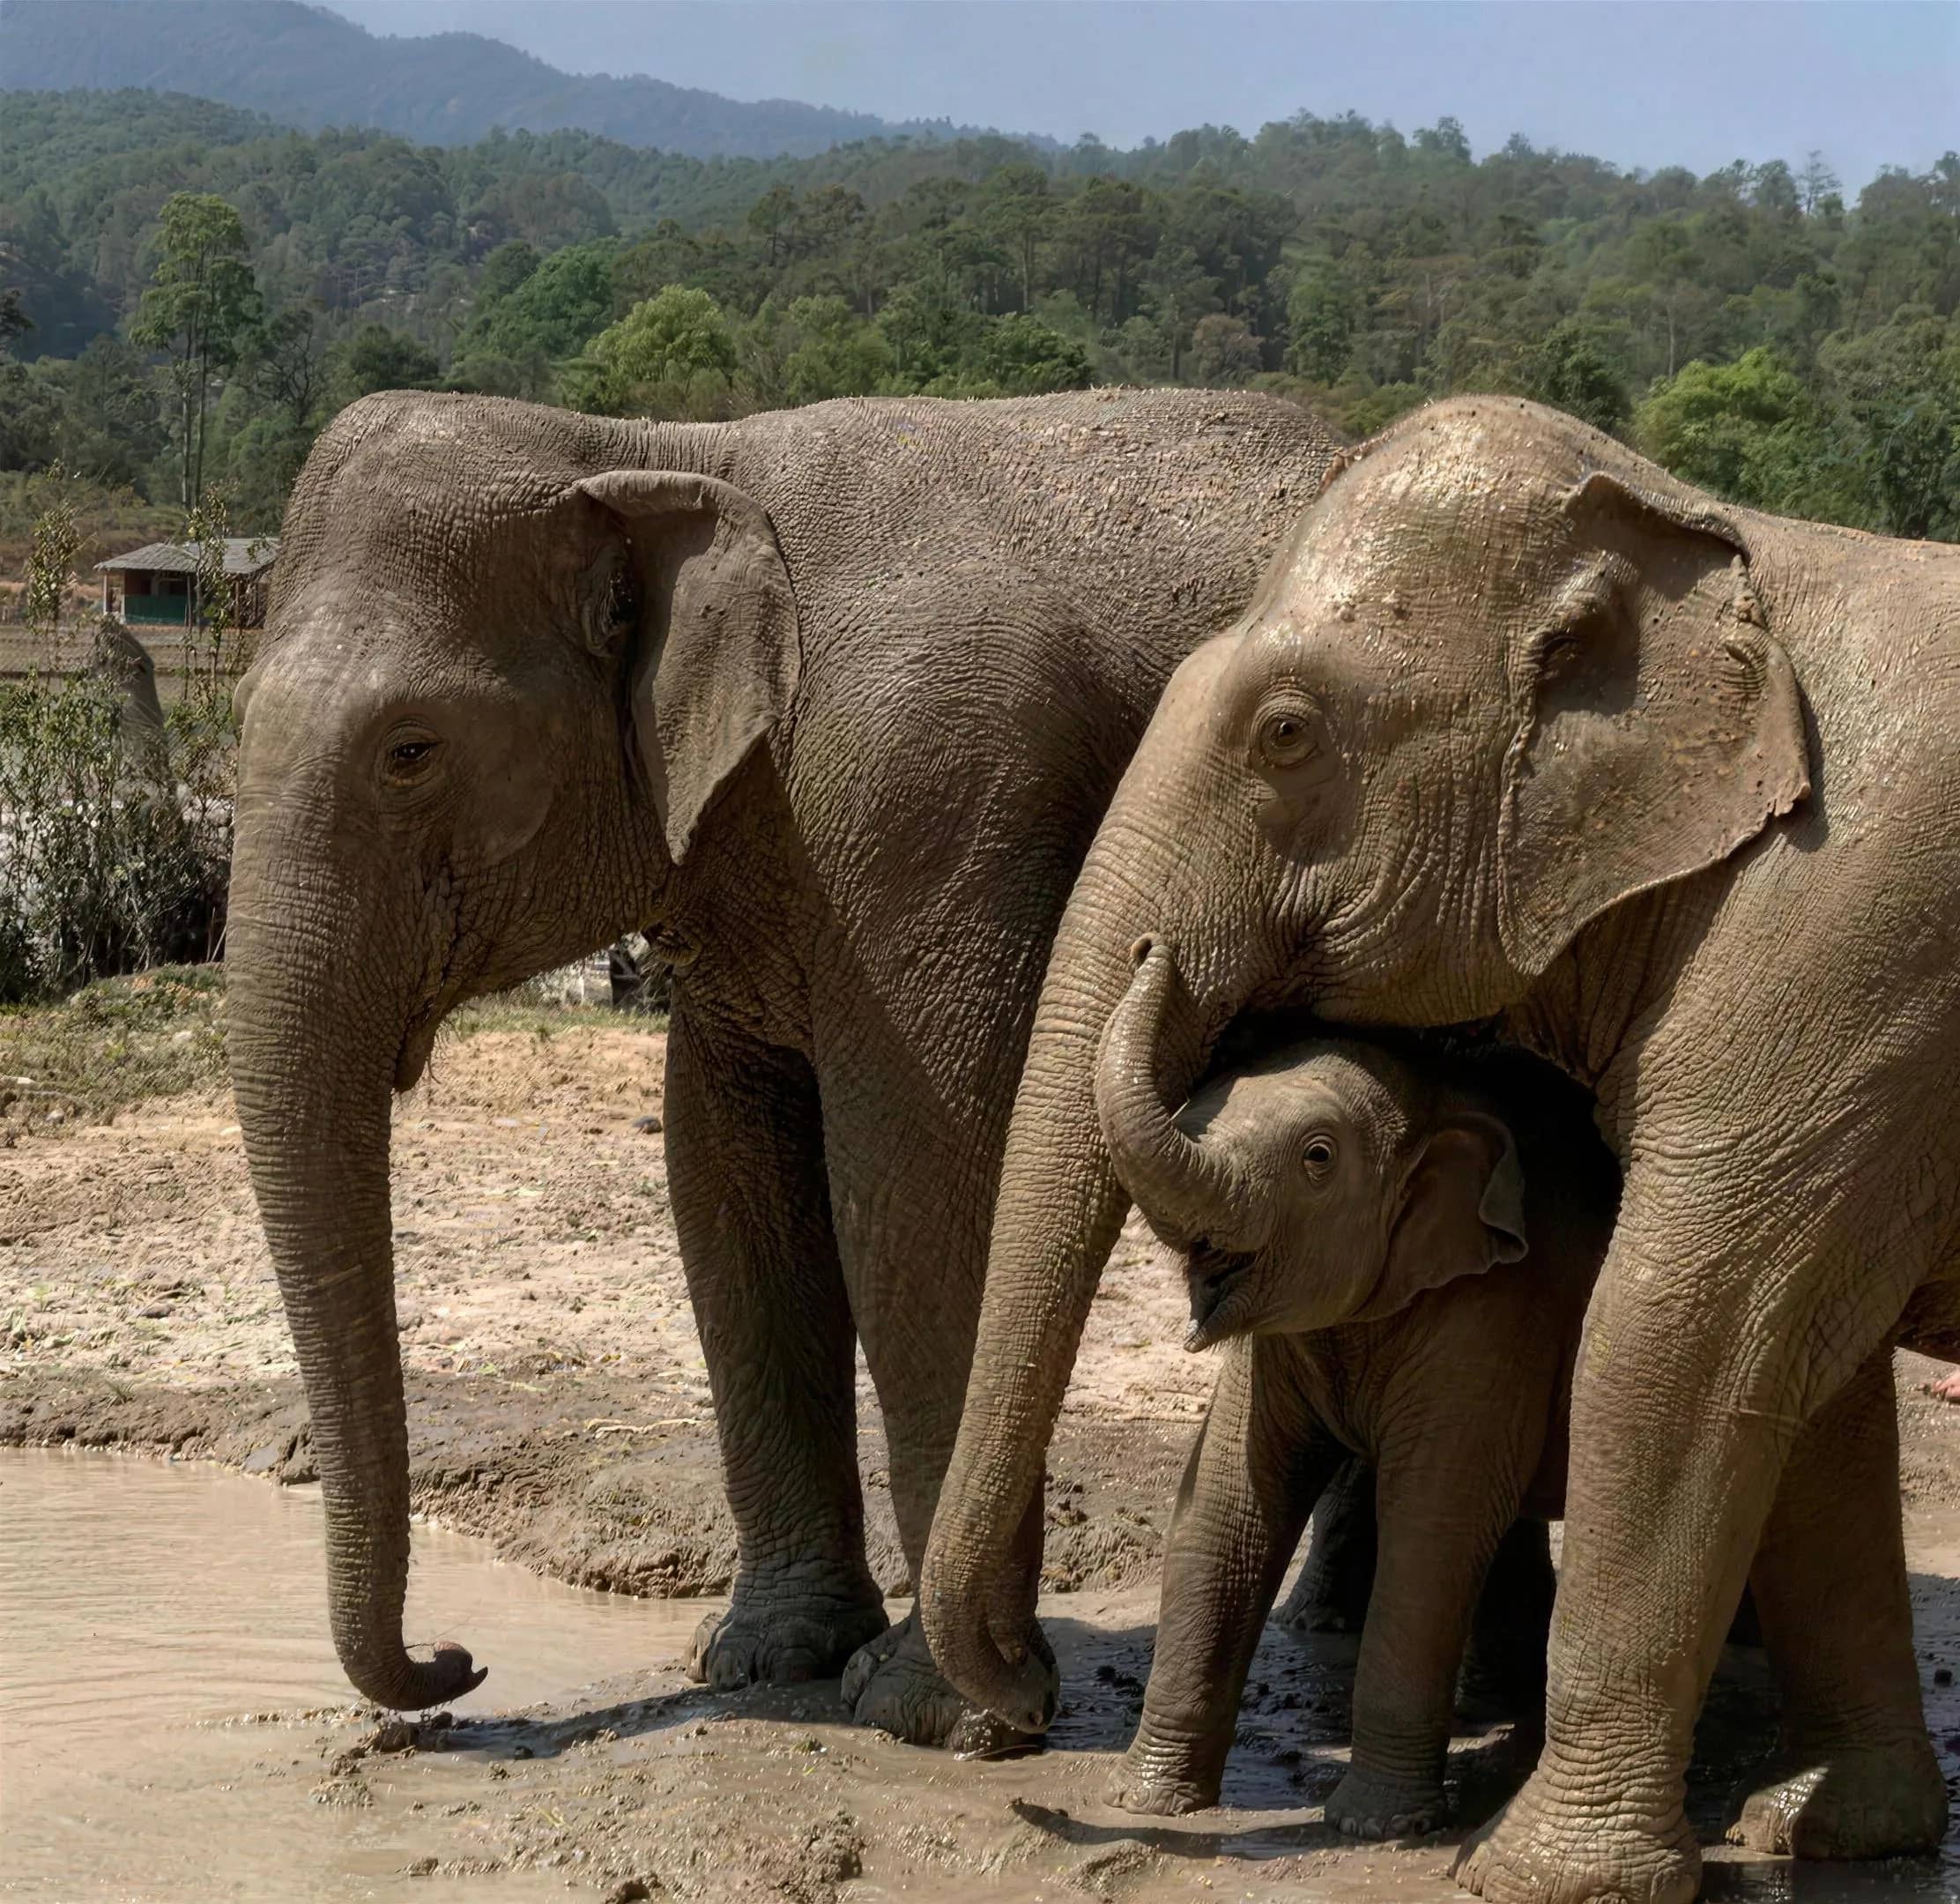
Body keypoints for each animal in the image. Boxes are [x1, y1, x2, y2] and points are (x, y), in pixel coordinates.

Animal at [223, 385, 1339, 1738]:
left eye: (410, 750)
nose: (455, 1665)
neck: (659, 449)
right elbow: (724, 1180)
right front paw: (763, 1662)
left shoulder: (933, 808)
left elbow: (920, 1179)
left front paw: (937, 1713)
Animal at [1097, 945, 1619, 1836]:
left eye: (1318, 1156)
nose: (1149, 949)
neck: (1438, 1099)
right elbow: (1227, 1505)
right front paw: (1150, 1802)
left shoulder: (1498, 1310)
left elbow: (1437, 1519)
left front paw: (1375, 1826)